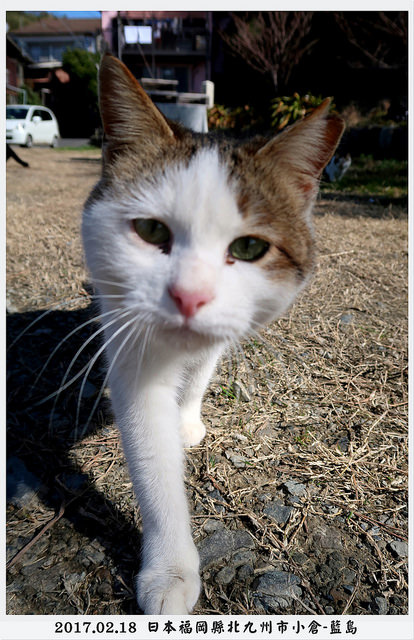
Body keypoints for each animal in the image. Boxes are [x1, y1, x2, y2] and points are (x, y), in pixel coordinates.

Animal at [82, 56, 344, 616]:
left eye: (248, 248)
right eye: (151, 231)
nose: (189, 296)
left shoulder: (222, 334)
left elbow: (200, 375)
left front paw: (186, 420)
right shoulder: (134, 357)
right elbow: (154, 465)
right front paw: (170, 573)